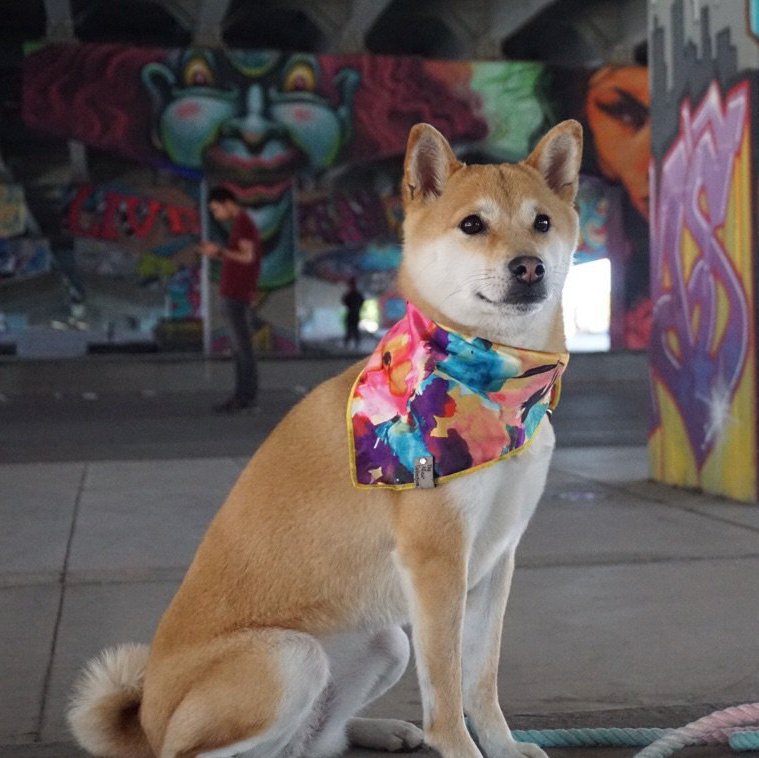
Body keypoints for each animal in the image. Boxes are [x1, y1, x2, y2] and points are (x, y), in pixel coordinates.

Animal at [70, 120, 580, 758]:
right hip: (289, 658)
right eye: (472, 225)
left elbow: (480, 680)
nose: (529, 267)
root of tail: (147, 722)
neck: (496, 381)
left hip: (386, 642)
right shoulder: (437, 561)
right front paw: (462, 749)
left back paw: (378, 729)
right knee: (197, 752)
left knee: (310, 743)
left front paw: (503, 747)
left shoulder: (494, 560)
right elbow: (446, 690)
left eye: (543, 222)